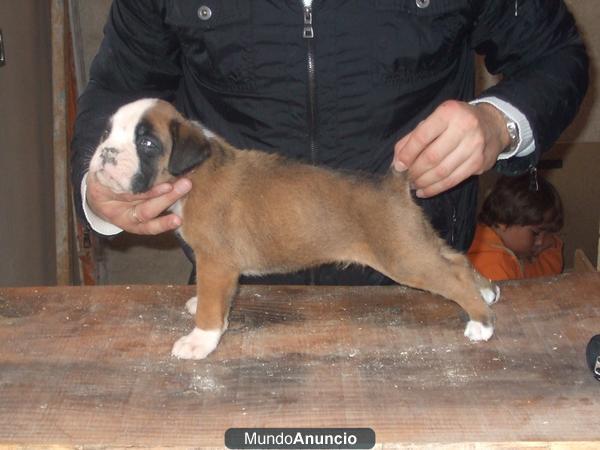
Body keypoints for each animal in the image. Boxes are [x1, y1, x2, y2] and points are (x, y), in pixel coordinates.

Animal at [89, 100, 500, 360]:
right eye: (106, 133)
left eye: (146, 142)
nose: (106, 153)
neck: (195, 171)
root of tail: (392, 183)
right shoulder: (222, 271)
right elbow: (217, 299)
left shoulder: (216, 263)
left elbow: (210, 309)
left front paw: (199, 341)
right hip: (416, 243)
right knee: (457, 261)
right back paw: (486, 291)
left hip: (404, 258)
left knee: (452, 277)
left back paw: (480, 322)